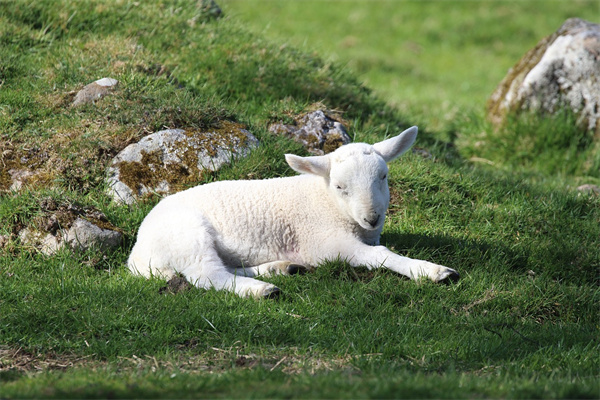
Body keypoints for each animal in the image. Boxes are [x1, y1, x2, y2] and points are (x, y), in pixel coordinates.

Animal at [127, 126, 460, 298]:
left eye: (384, 176)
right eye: (340, 186)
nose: (372, 217)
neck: (326, 202)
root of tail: (137, 254)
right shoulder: (326, 243)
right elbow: (380, 256)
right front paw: (434, 271)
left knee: (224, 267)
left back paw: (279, 268)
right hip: (186, 236)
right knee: (207, 275)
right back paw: (261, 289)